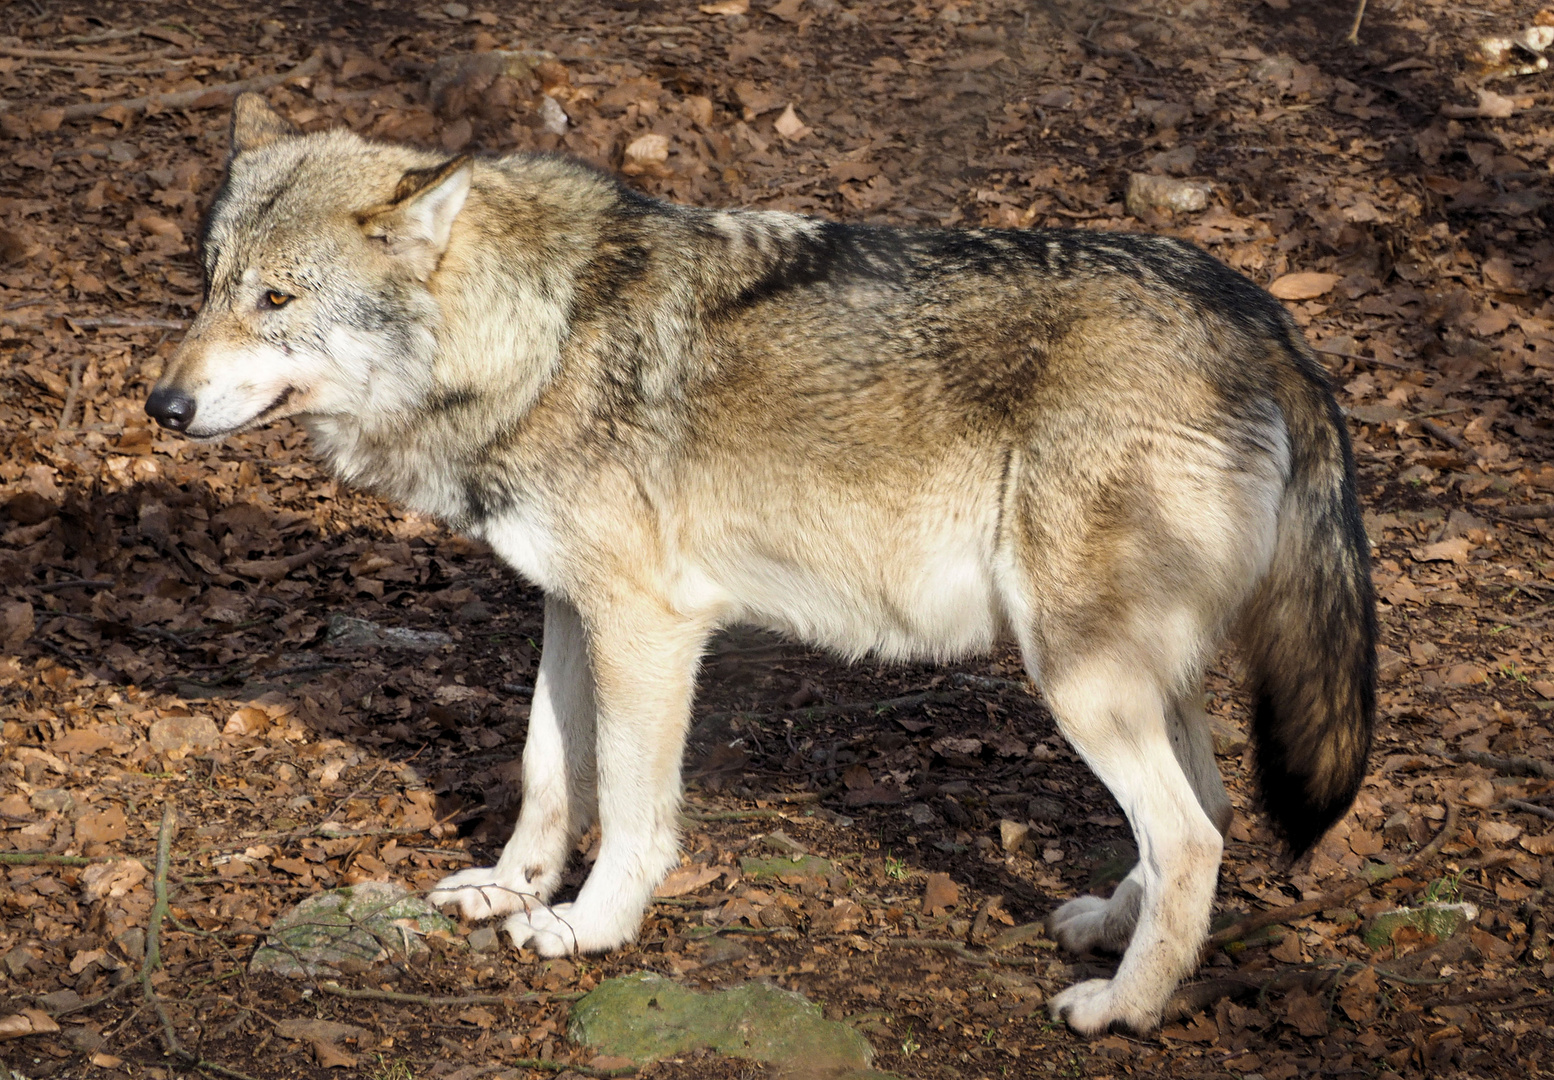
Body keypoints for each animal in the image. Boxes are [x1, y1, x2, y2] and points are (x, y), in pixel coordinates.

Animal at [146, 95, 1379, 1038]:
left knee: (1194, 836)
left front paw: (588, 927)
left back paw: (1122, 1007)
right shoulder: (570, 609)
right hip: (1129, 674)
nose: (162, 405)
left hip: (1075, 676)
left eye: (276, 299)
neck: (539, 337)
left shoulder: (649, 625)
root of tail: (1266, 318)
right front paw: (509, 889)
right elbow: (548, 772)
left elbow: (629, 803)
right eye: (208, 285)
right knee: (1208, 813)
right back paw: (1112, 931)